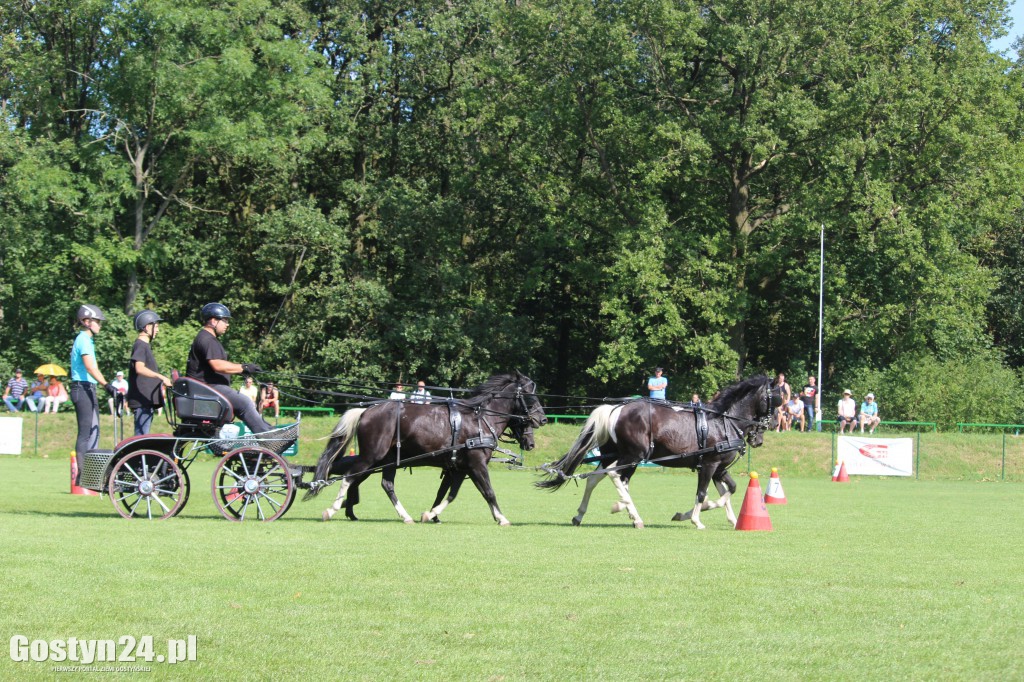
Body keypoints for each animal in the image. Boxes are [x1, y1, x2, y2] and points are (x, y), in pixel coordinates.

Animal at [303, 374, 544, 522]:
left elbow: (449, 494)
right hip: (372, 456)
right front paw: (502, 518)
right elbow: (488, 491)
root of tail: (366, 411)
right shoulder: (476, 465)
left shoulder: (459, 468)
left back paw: (402, 516)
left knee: (384, 484)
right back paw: (332, 509)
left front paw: (430, 514)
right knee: (349, 476)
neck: (480, 420)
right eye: (531, 396)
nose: (542, 419)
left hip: (386, 459)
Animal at [540, 374, 770, 528]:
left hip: (615, 455)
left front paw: (732, 519)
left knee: (595, 479)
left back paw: (583, 515)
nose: (759, 437)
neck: (723, 421)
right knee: (614, 476)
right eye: (773, 397)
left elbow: (729, 490)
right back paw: (633, 515)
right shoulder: (709, 465)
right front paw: (696, 518)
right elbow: (704, 494)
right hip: (633, 456)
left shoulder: (720, 468)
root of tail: (615, 409)